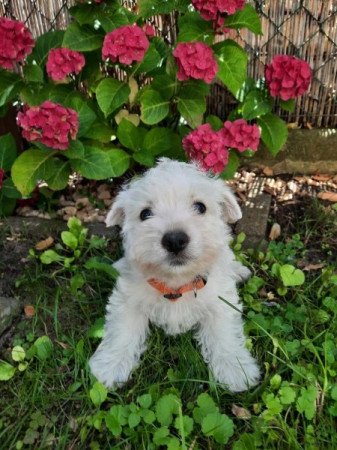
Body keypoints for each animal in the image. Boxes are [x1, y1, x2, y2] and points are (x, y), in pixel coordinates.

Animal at [88, 158, 258, 390]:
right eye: (145, 213)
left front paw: (235, 368)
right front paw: (111, 365)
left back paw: (239, 271)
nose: (175, 240)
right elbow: (122, 331)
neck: (177, 283)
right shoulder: (127, 301)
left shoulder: (220, 302)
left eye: (200, 207)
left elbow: (224, 333)